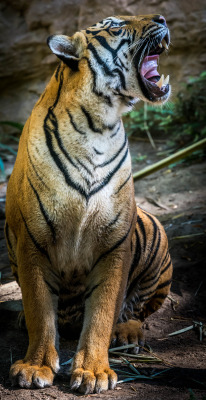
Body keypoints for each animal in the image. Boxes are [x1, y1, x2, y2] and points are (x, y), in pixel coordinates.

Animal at [4, 14, 172, 394]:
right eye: (116, 26)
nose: (161, 17)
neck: (98, 125)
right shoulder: (32, 241)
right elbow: (39, 308)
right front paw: (35, 367)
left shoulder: (114, 243)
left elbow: (103, 312)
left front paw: (94, 372)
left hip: (155, 233)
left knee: (139, 307)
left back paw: (128, 332)